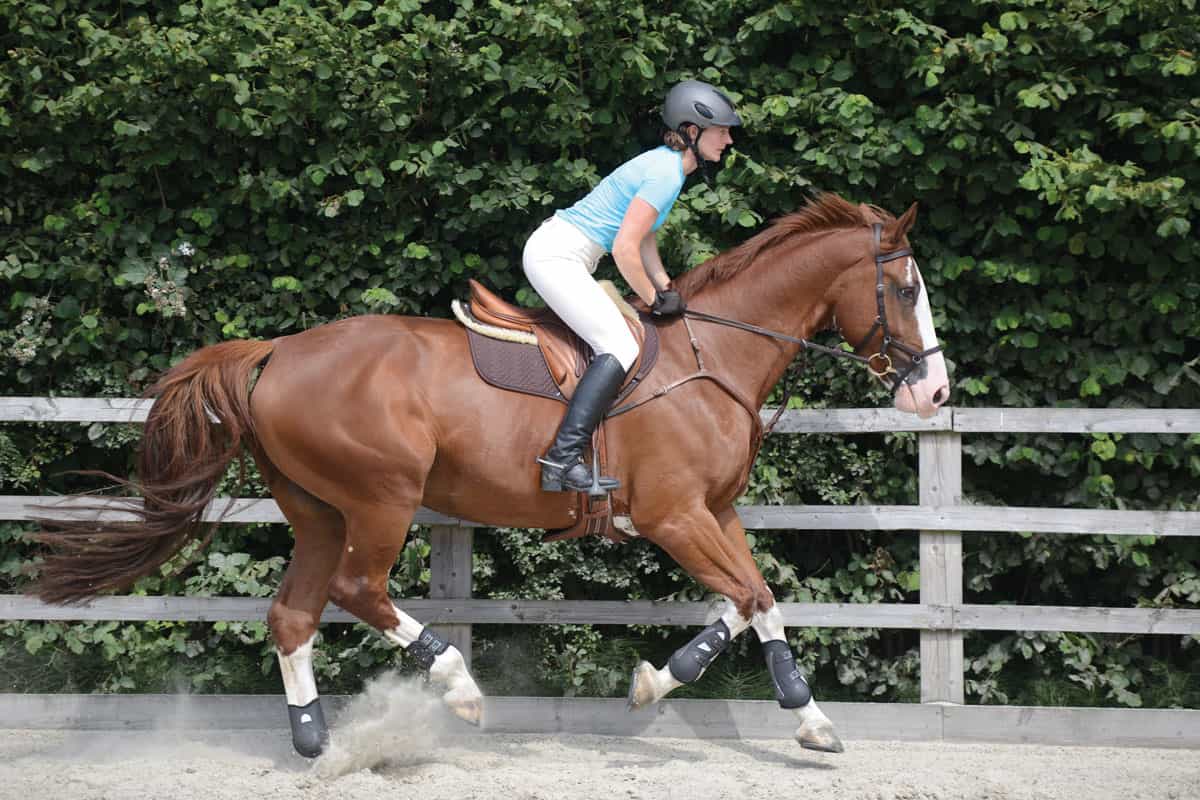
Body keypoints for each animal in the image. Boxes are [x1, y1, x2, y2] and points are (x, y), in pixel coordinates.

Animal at [35, 191, 945, 758]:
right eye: (904, 288)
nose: (933, 392)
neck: (711, 353)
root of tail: (277, 350)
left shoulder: (713, 514)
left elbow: (748, 599)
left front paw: (679, 685)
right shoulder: (674, 516)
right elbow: (753, 596)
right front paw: (794, 714)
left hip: (320, 510)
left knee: (293, 614)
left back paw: (312, 738)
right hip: (381, 498)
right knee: (358, 590)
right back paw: (457, 687)